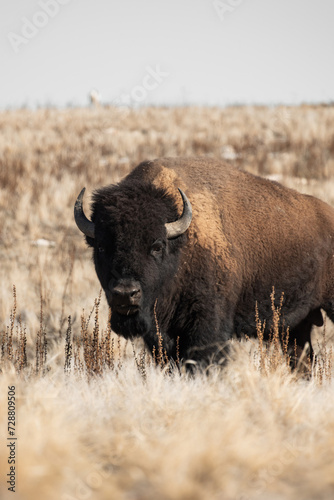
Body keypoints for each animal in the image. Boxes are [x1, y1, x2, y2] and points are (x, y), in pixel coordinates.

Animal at [75, 158, 334, 366]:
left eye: (157, 246)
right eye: (101, 247)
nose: (125, 293)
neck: (181, 245)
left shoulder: (207, 326)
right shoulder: (160, 336)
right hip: (296, 326)